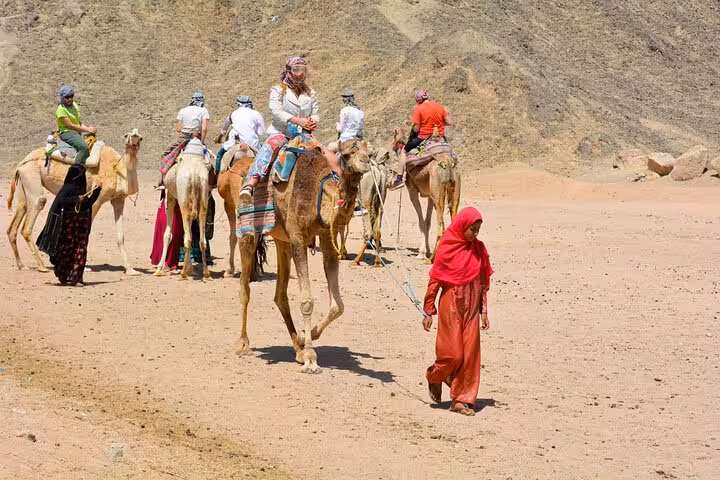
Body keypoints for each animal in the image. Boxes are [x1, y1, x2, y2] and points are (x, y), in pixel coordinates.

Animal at [7, 129, 143, 274]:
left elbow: (120, 237)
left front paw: (130, 269)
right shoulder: (96, 199)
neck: (117, 169)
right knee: (34, 212)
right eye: (126, 135)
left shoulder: (118, 200)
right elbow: (86, 232)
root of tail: (23, 161)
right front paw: (84, 267)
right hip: (31, 175)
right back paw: (41, 266)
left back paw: (22, 265)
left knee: (17, 217)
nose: (134, 136)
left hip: (24, 181)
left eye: (140, 137)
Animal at [153, 146, 212, 280]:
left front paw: (159, 269)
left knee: (188, 238)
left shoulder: (170, 196)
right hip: (203, 199)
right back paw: (206, 273)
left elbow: (168, 234)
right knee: (201, 240)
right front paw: (191, 269)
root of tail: (195, 173)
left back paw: (183, 273)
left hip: (183, 199)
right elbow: (185, 232)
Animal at [235, 139, 370, 373]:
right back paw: (244, 344)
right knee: (245, 287)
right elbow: (307, 300)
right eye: (347, 154)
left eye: (368, 152)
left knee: (280, 294)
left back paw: (297, 347)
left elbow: (338, 306)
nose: (365, 163)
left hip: (282, 241)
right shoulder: (298, 237)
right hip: (249, 232)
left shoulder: (326, 236)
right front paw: (311, 358)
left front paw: (310, 335)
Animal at [393, 128, 460, 262]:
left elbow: (422, 222)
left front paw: (422, 253)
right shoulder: (430, 196)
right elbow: (427, 222)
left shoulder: (412, 191)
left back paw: (432, 259)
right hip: (453, 185)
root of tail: (447, 162)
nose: (392, 146)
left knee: (441, 227)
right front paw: (427, 251)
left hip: (438, 190)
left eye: (394, 137)